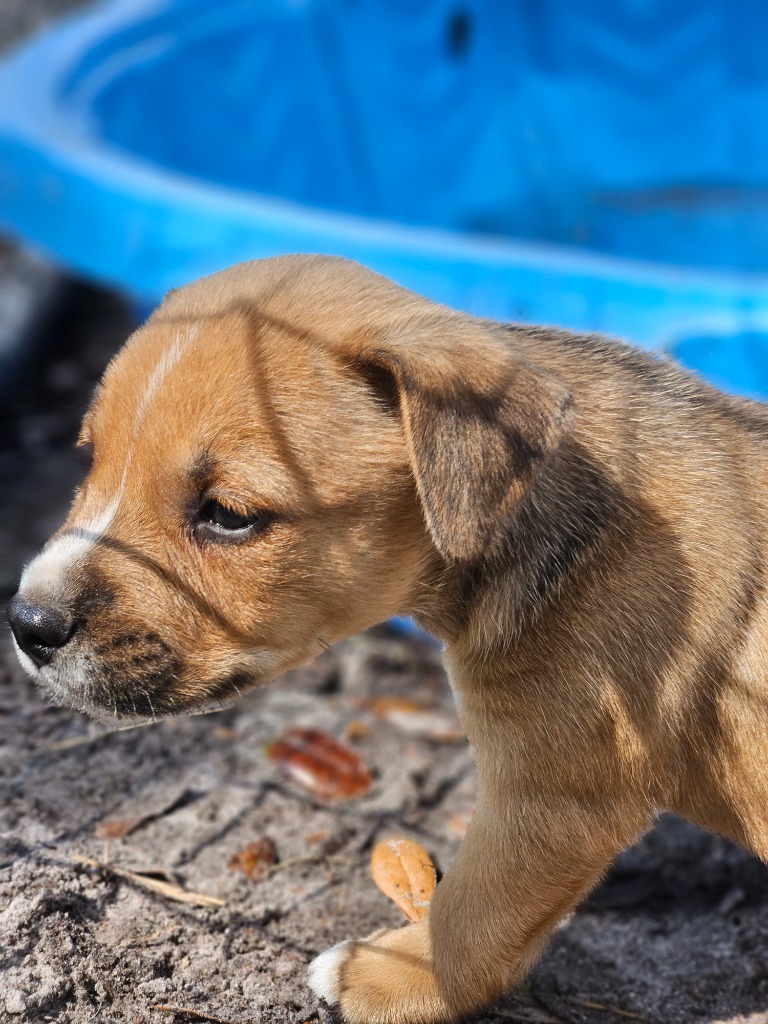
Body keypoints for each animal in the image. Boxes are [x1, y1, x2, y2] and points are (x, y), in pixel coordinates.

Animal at [10, 253, 768, 1015]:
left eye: (229, 514)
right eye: (91, 459)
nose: (26, 623)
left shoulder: (553, 797)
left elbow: (472, 914)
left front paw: (384, 976)